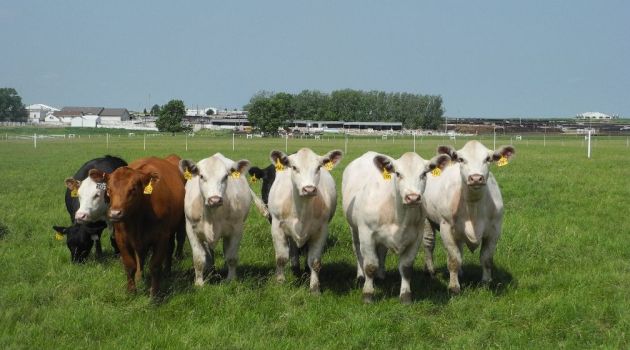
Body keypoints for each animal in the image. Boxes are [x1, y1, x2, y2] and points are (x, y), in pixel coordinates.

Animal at [90, 157, 186, 296]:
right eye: (108, 189)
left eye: (133, 189)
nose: (115, 213)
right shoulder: (121, 239)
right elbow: (130, 265)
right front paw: (131, 291)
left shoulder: (161, 237)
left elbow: (155, 266)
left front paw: (154, 294)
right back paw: (140, 277)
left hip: (179, 224)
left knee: (174, 245)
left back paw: (167, 271)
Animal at [178, 154, 260, 284]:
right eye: (201, 176)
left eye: (225, 176)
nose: (215, 199)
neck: (212, 216)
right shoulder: (191, 230)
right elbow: (198, 259)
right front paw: (199, 283)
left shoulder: (236, 230)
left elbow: (231, 257)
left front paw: (231, 280)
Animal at [268, 148, 344, 296]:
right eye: (294, 167)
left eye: (318, 167)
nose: (309, 189)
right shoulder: (277, 227)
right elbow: (281, 258)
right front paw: (280, 282)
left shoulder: (321, 230)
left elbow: (314, 261)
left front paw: (315, 288)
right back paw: (295, 267)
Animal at [344, 151, 452, 304]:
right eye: (398, 173)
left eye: (424, 173)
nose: (412, 197)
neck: (399, 215)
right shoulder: (367, 233)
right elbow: (370, 265)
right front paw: (368, 294)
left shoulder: (416, 237)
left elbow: (406, 267)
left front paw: (406, 296)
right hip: (354, 228)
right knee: (357, 249)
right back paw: (360, 276)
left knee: (381, 251)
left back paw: (381, 275)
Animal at [422, 141, 516, 294]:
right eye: (461, 159)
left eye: (488, 159)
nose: (476, 178)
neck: (474, 207)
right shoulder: (446, 228)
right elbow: (453, 259)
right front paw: (454, 287)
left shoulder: (495, 230)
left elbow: (486, 259)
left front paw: (486, 282)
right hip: (426, 219)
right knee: (429, 243)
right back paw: (429, 270)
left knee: (459, 248)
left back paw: (460, 273)